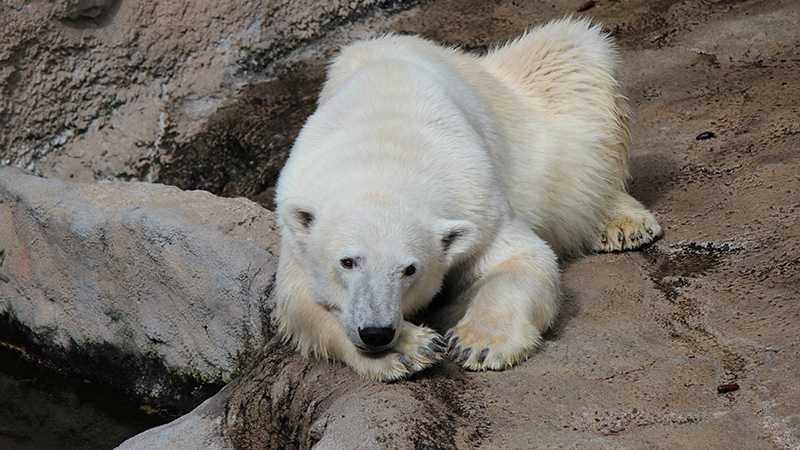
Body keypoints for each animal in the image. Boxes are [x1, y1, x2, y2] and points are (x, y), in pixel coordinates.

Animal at [272, 19, 660, 382]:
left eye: (410, 269)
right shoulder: (297, 229)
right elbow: (299, 301)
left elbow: (520, 259)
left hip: (541, 102)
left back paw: (622, 223)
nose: (377, 332)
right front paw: (409, 349)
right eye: (348, 261)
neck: (383, 154)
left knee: (577, 62)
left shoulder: (475, 198)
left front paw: (478, 344)